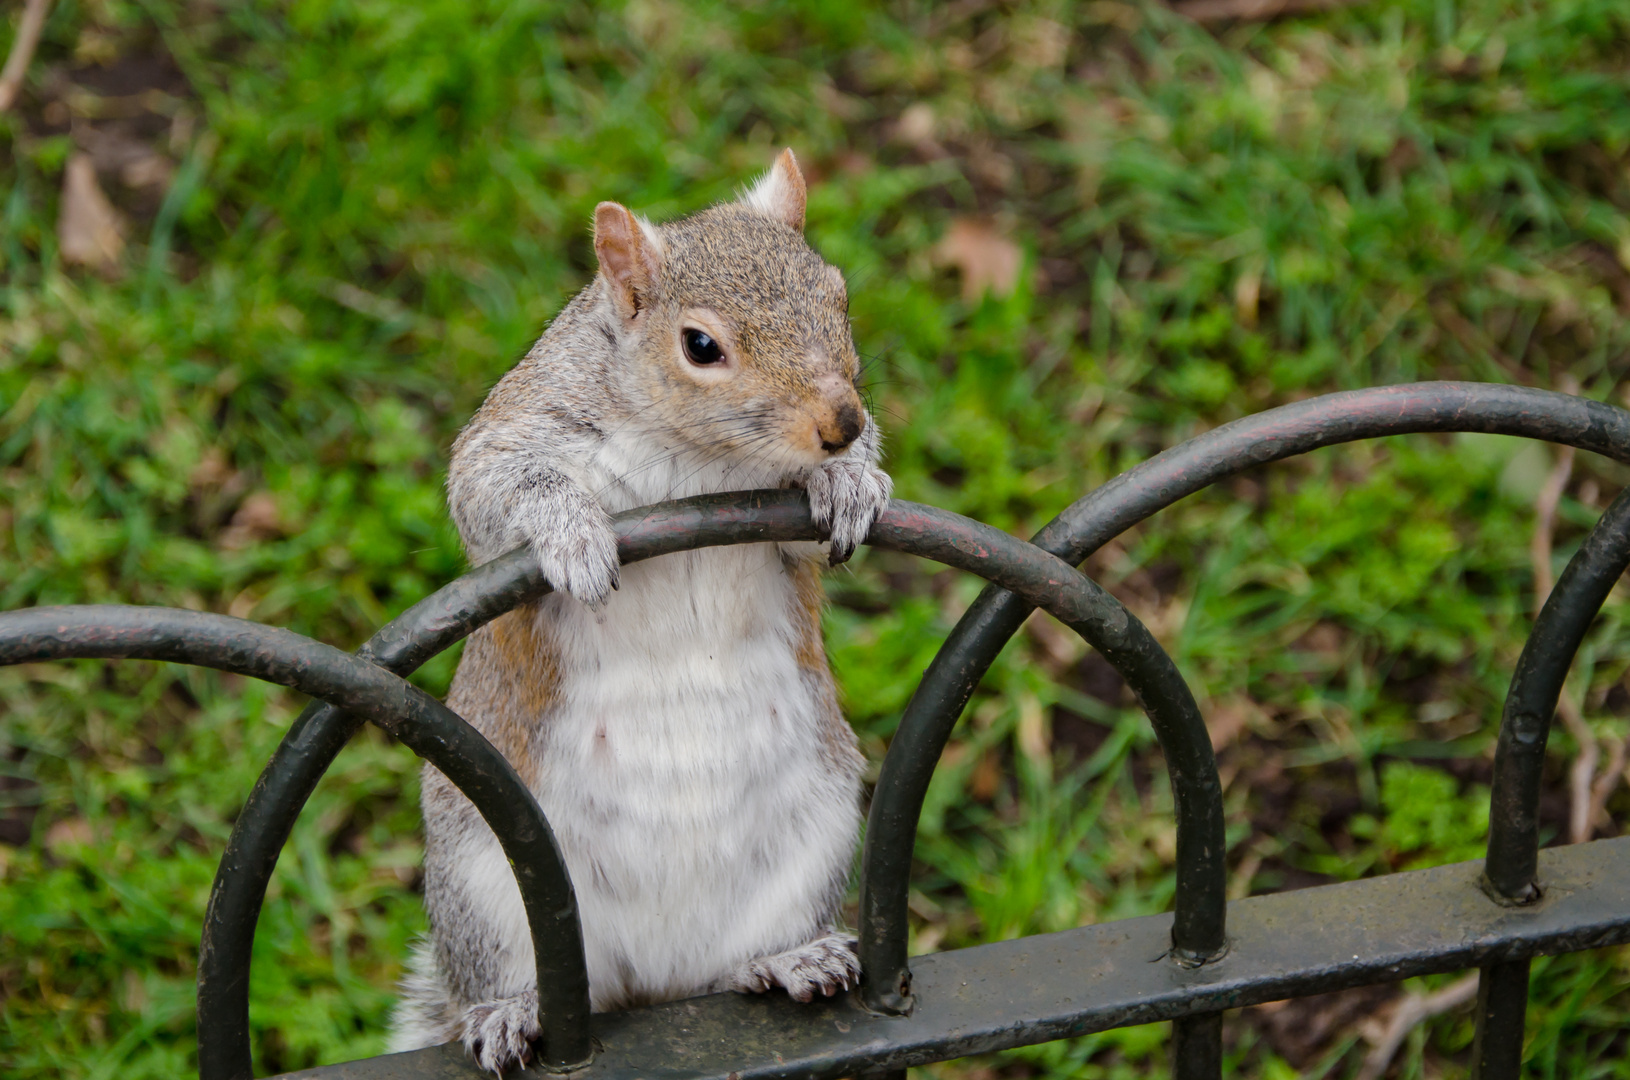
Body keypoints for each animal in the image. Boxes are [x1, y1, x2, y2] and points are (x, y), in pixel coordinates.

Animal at [386, 149, 893, 1075]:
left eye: (838, 296)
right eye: (701, 346)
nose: (842, 424)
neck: (697, 454)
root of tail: (654, 986)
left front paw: (848, 482)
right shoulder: (517, 431)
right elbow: (491, 492)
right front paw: (574, 532)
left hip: (817, 832)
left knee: (738, 962)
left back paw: (788, 959)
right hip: (486, 880)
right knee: (511, 973)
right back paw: (508, 1013)